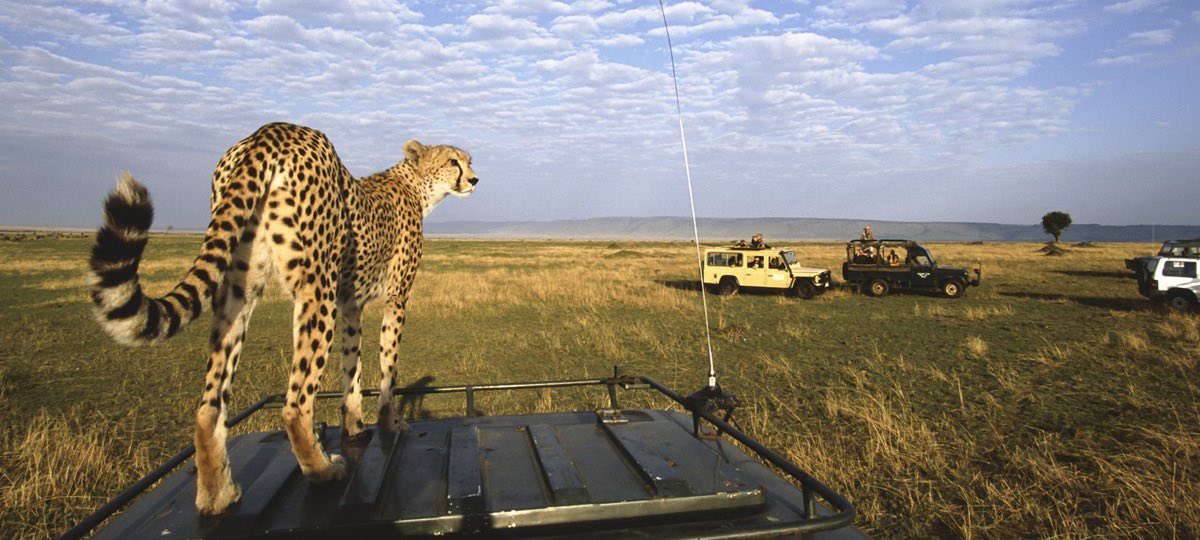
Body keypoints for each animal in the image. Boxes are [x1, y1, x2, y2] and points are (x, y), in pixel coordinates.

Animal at [87, 122, 478, 515]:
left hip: (238, 289)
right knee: (294, 404)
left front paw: (354, 425)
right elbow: (387, 368)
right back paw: (321, 470)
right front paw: (390, 423)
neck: (415, 185)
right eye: (453, 161)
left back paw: (217, 494)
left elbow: (352, 367)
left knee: (209, 407)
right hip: (316, 287)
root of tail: (271, 131)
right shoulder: (394, 299)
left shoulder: (351, 304)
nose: (475, 179)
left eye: (468, 160)